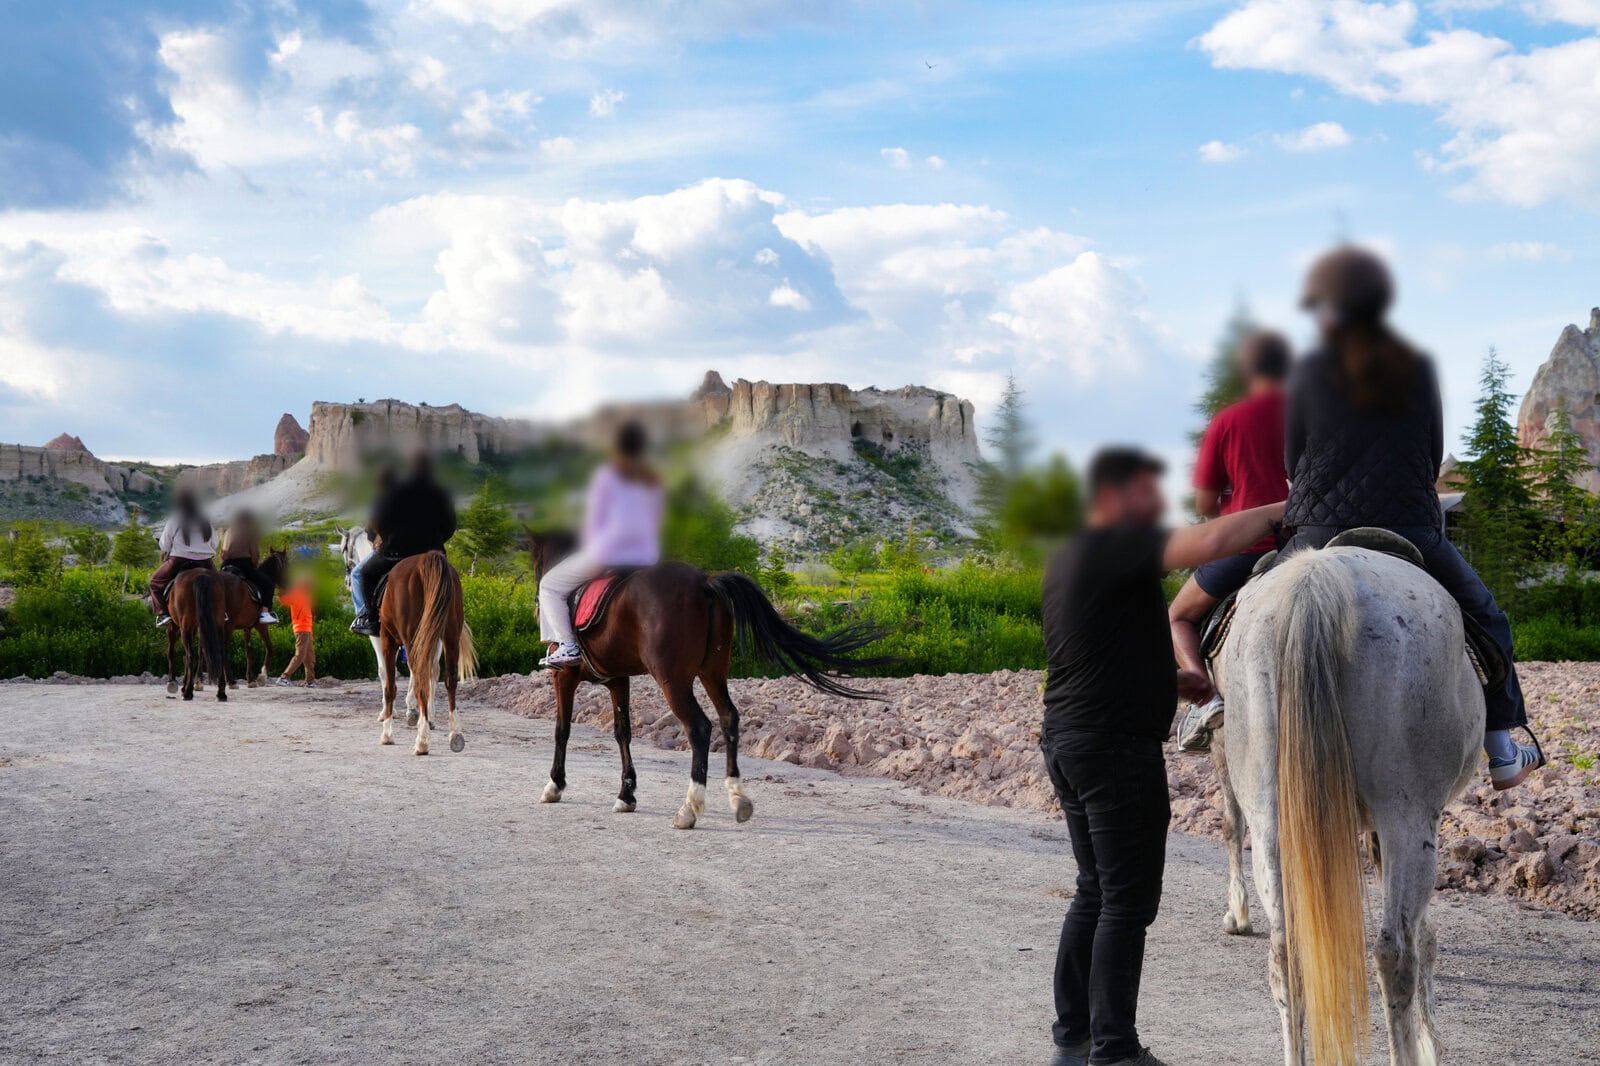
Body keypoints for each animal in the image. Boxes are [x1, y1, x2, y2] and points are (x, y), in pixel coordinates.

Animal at [375, 549, 478, 755]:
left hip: (412, 638)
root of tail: (428, 558)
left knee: (421, 681)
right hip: (450, 636)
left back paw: (422, 741)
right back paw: (455, 734)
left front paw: (387, 734)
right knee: (449, 680)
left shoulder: (387, 640)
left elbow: (390, 686)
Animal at [530, 531, 891, 830]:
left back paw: (689, 809)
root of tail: (704, 582)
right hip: (713, 672)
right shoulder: (619, 680)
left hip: (673, 679)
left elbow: (562, 729)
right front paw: (626, 795)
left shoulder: (564, 676)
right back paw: (738, 798)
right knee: (729, 717)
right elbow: (623, 733)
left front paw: (554, 786)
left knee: (700, 727)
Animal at [1217, 545, 1480, 1066]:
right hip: (1408, 818)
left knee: (1285, 955)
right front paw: (1429, 1041)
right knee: (1394, 953)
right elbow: (1423, 938)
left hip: (1273, 820)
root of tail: (1317, 583)